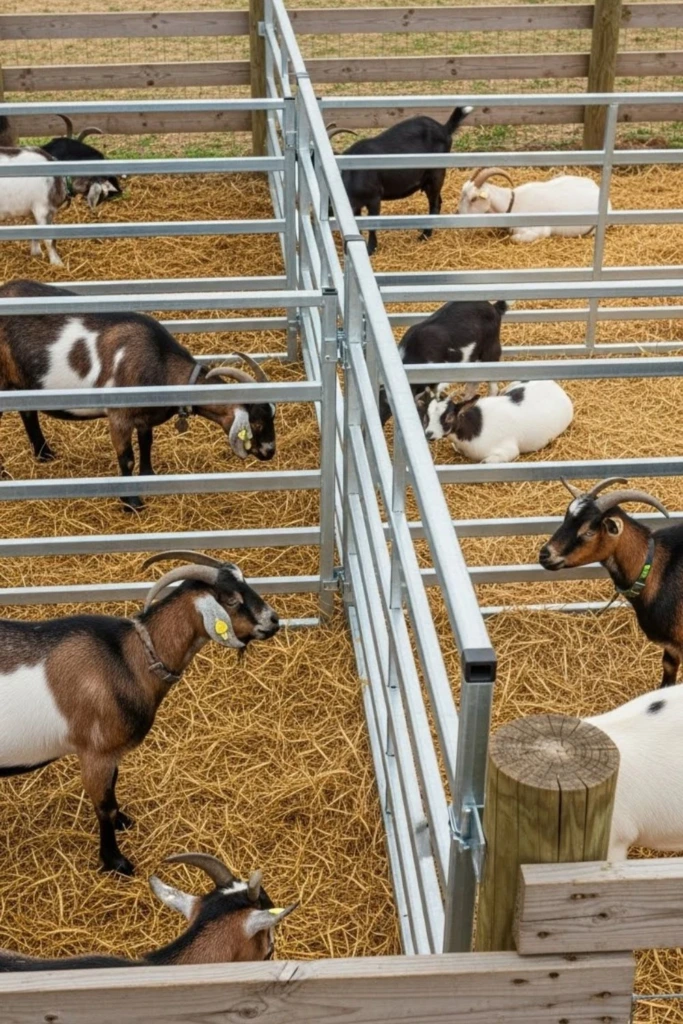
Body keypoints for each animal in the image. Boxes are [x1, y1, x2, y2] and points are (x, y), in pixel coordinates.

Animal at [0, 279, 276, 511]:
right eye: (256, 421)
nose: (270, 452)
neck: (159, 361)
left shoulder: (144, 415)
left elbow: (146, 443)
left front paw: (149, 476)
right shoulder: (119, 416)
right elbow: (127, 459)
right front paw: (131, 502)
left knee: (27, 412)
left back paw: (44, 453)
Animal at [0, 551, 280, 875]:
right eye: (232, 600)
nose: (274, 621)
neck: (126, 658)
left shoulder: (112, 755)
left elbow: (113, 787)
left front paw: (124, 821)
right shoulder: (95, 754)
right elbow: (104, 807)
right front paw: (116, 861)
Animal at [334, 106, 473, 256]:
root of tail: (444, 128)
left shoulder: (374, 198)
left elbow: (373, 224)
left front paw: (371, 249)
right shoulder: (356, 205)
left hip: (436, 174)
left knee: (435, 203)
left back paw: (424, 235)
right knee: (438, 201)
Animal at [416, 379, 573, 462]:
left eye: (449, 417)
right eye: (427, 415)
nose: (429, 434)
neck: (476, 426)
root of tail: (556, 387)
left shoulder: (507, 451)